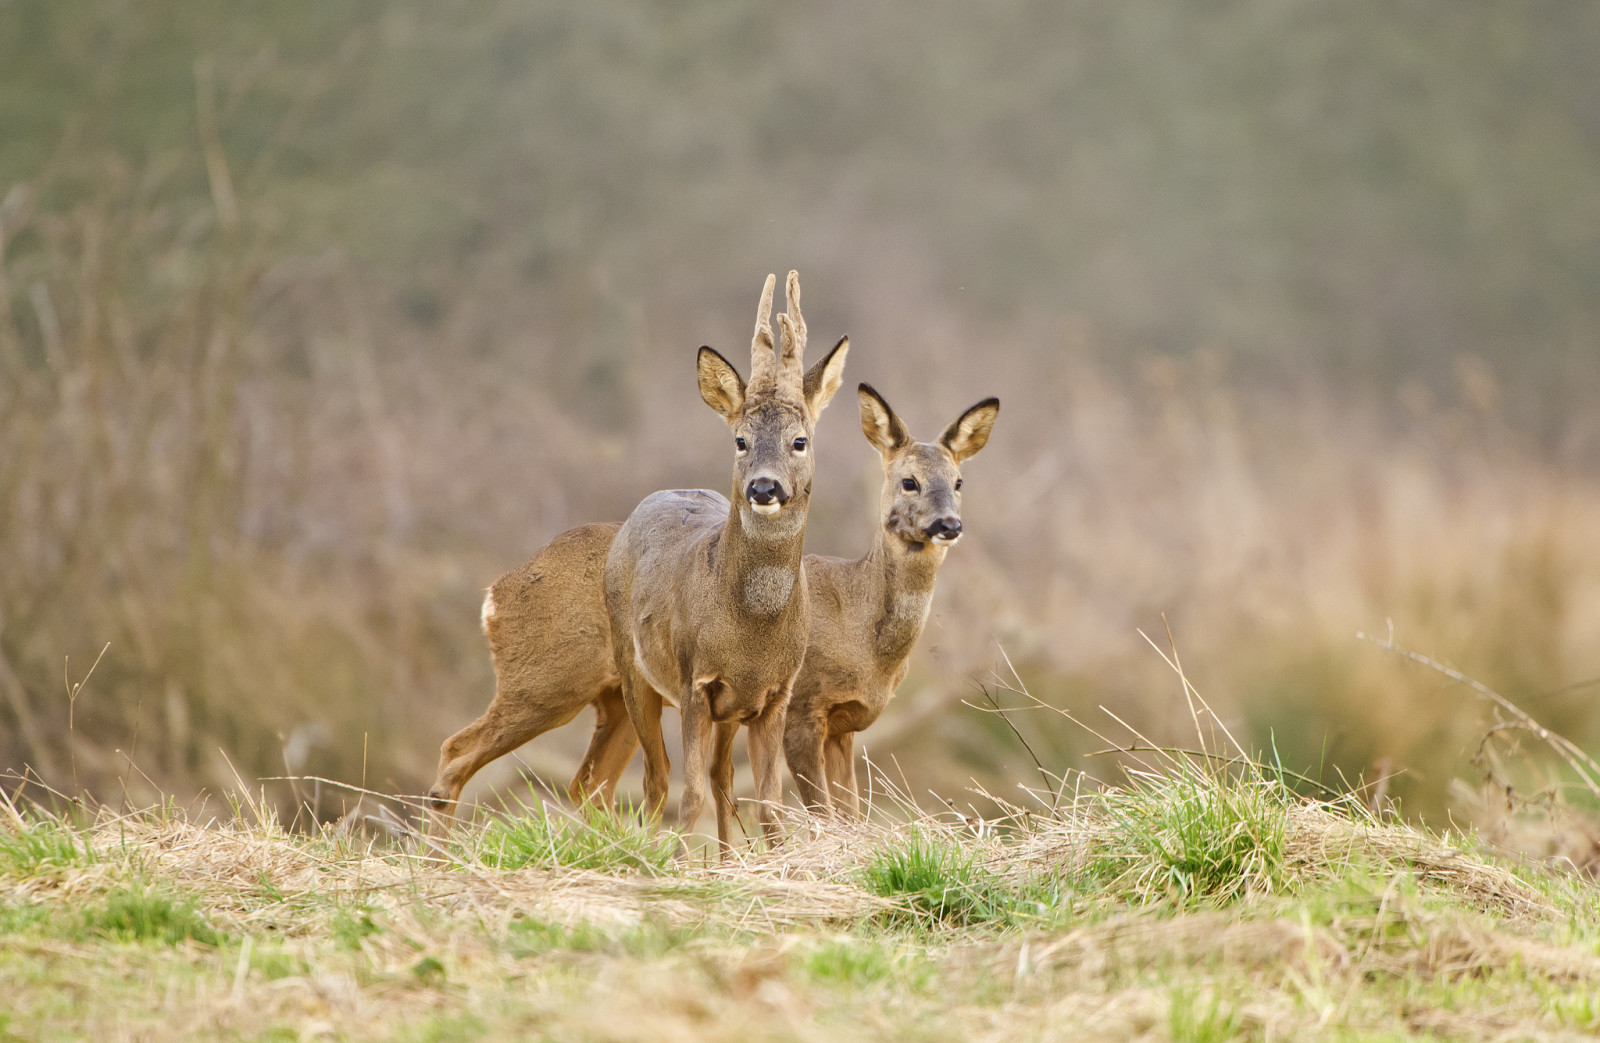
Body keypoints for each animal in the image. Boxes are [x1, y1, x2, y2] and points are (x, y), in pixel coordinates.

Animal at [601, 273, 851, 851]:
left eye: (800, 440)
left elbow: (771, 803)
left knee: (720, 777)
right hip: (633, 667)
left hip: (730, 711)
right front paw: (675, 865)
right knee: (659, 778)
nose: (764, 487)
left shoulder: (772, 695)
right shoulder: (696, 683)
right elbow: (688, 795)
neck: (751, 636)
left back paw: (721, 859)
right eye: (740, 439)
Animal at [780, 382, 992, 815]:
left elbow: (850, 812)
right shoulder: (800, 708)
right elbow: (822, 813)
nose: (949, 524)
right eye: (909, 481)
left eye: (959, 482)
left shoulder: (842, 726)